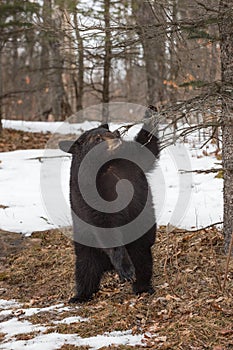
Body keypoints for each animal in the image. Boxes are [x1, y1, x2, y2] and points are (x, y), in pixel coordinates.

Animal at [59, 105, 159, 302]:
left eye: (108, 130)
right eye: (97, 138)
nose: (117, 133)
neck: (106, 163)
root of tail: (107, 266)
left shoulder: (130, 160)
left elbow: (147, 149)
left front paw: (151, 112)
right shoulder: (89, 190)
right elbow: (104, 221)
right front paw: (127, 270)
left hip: (140, 242)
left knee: (143, 260)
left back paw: (143, 287)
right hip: (87, 245)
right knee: (85, 269)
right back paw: (81, 295)